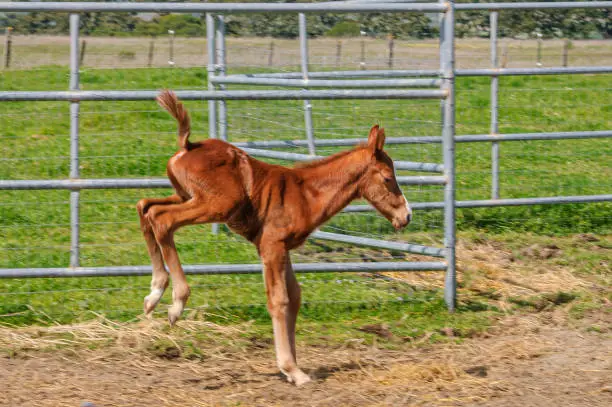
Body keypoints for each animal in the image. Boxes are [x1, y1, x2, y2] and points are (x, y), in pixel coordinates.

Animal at [137, 91, 414, 388]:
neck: (306, 194)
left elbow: (295, 296)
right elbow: (279, 300)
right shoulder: (272, 246)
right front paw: (293, 370)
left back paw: (154, 294)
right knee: (163, 220)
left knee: (146, 208)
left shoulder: (280, 248)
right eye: (388, 178)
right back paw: (175, 303)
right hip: (216, 204)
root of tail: (188, 146)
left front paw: (292, 368)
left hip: (186, 196)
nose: (406, 215)